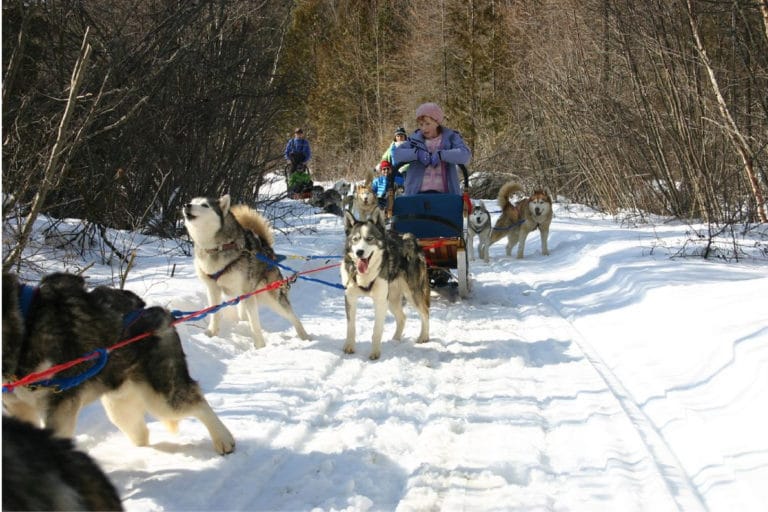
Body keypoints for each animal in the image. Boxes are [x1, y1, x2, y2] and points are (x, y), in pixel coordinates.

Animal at [1, 272, 236, 456]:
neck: (26, 327)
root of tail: (158, 311)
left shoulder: (59, 405)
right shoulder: (17, 408)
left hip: (163, 399)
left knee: (197, 400)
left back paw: (223, 439)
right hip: (119, 407)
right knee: (141, 433)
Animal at [183, 195, 308, 348]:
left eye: (205, 205)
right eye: (192, 201)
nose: (186, 205)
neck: (218, 247)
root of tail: (266, 248)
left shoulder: (248, 293)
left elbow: (255, 324)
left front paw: (260, 347)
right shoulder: (213, 289)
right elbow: (215, 313)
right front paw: (211, 333)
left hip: (270, 296)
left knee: (292, 316)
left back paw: (305, 337)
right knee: (245, 313)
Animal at [340, 208, 428, 360]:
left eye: (369, 238)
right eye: (355, 239)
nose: (359, 252)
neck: (365, 276)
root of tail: (410, 239)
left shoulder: (380, 301)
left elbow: (377, 330)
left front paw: (375, 352)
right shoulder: (350, 298)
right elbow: (351, 327)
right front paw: (349, 347)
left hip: (412, 294)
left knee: (425, 313)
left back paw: (424, 337)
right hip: (392, 299)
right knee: (402, 317)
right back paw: (395, 340)